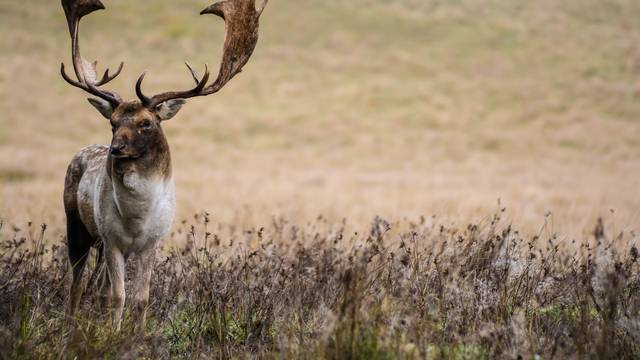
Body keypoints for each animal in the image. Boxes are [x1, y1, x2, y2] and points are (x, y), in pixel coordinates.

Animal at [60, 0, 268, 332]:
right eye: (113, 122)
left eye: (146, 123)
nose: (116, 149)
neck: (136, 217)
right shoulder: (113, 239)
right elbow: (118, 295)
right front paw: (113, 334)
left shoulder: (152, 242)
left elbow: (141, 297)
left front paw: (137, 334)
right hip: (77, 225)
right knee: (77, 284)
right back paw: (71, 324)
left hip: (100, 243)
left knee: (98, 286)